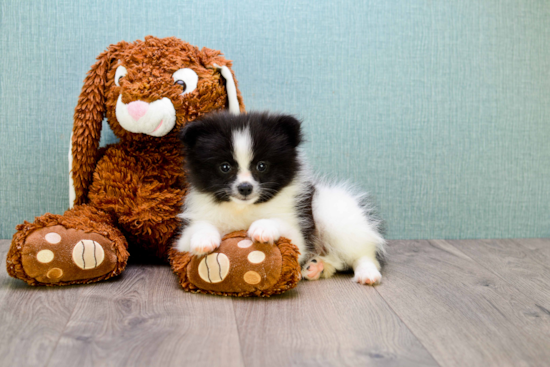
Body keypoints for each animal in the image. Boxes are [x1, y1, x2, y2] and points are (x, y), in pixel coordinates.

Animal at [175, 113, 386, 288]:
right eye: (225, 167)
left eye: (262, 166)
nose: (245, 188)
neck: (243, 208)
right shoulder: (184, 239)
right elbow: (199, 228)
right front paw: (203, 239)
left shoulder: (297, 231)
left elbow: (280, 224)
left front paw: (262, 228)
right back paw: (316, 267)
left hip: (334, 215)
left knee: (363, 254)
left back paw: (367, 273)